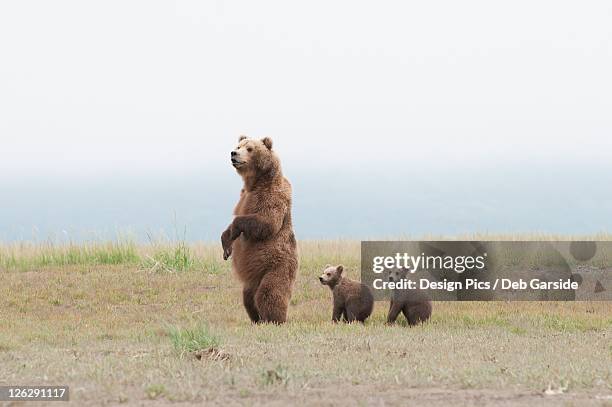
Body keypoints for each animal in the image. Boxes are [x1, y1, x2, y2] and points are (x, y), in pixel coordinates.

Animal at [221, 137, 298, 326]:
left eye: (249, 148)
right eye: (238, 146)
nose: (234, 153)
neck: (255, 183)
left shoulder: (272, 196)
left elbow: (266, 222)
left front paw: (235, 230)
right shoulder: (242, 196)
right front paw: (226, 245)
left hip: (277, 267)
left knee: (269, 293)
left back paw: (273, 319)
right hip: (253, 277)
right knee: (248, 298)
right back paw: (256, 319)